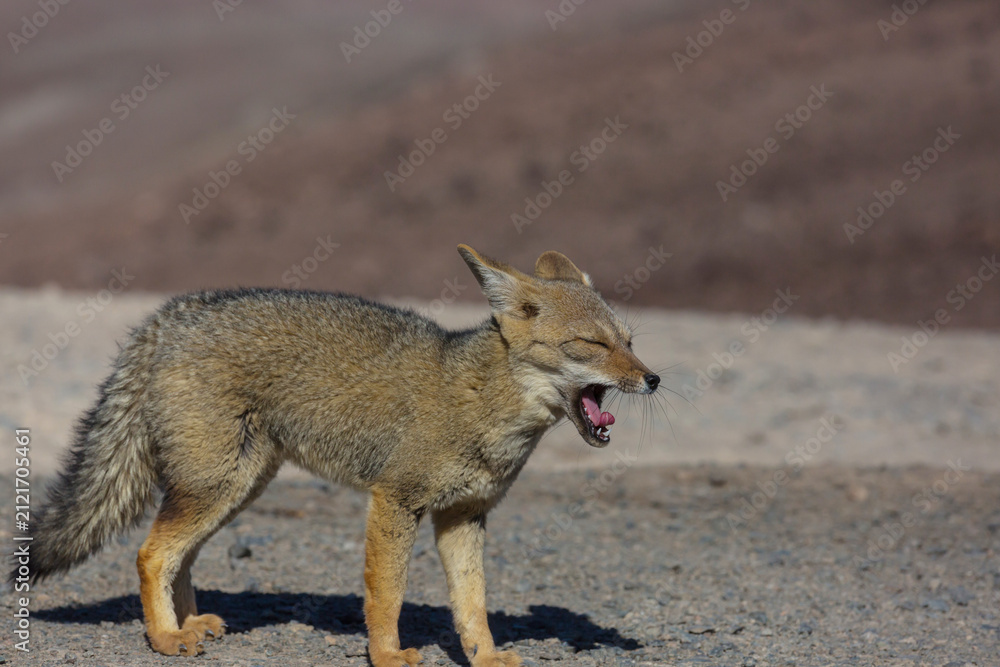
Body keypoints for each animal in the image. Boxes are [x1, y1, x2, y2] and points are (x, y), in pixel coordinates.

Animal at [17, 245, 660, 667]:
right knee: (151, 554)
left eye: (630, 342)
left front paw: (484, 657)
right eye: (592, 344)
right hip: (217, 485)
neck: (481, 398)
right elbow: (387, 592)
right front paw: (387, 655)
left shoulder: (463, 516)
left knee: (181, 555)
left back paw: (187, 624)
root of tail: (170, 315)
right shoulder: (396, 499)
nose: (654, 379)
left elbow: (472, 602)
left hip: (236, 487)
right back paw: (166, 639)